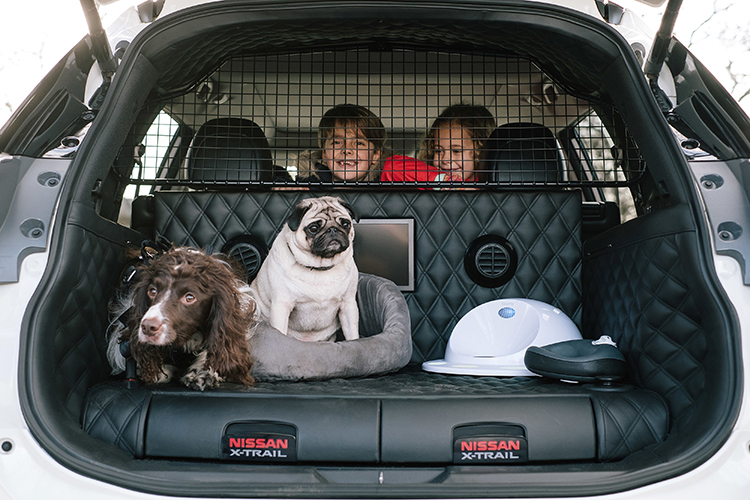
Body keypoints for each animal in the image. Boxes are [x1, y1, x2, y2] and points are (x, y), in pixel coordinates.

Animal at [250, 197, 362, 342]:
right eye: (313, 228)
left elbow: (352, 335)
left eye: (345, 224)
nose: (332, 229)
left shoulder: (348, 305)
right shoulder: (282, 305)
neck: (320, 267)